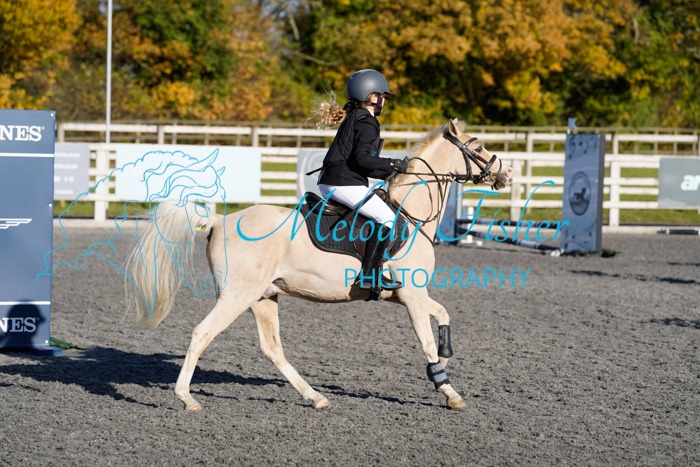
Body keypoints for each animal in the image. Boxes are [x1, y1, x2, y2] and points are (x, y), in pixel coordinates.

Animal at [125, 119, 513, 411]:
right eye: (478, 147)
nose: (506, 173)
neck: (411, 213)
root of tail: (220, 220)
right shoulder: (413, 295)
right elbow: (427, 340)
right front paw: (448, 390)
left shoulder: (408, 294)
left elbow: (444, 317)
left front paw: (443, 365)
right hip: (237, 295)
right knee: (202, 333)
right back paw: (186, 398)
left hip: (263, 297)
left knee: (272, 348)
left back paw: (315, 397)